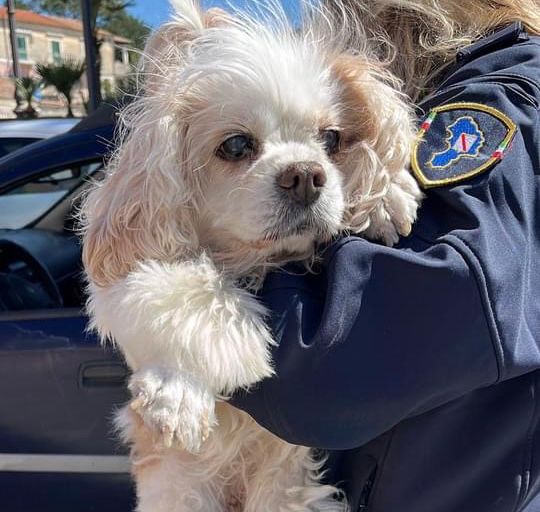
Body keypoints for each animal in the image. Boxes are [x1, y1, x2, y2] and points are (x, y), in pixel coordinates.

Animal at [79, 2, 422, 510]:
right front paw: (177, 394)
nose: (306, 175)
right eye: (237, 145)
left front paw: (385, 193)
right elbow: (177, 290)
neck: (251, 261)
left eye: (331, 138)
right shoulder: (127, 261)